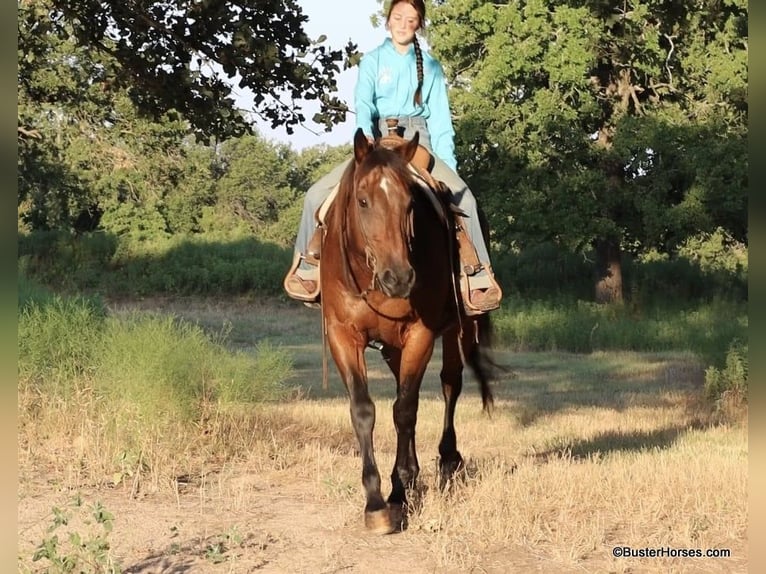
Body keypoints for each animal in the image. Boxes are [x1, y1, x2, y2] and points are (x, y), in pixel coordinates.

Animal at [319, 127, 495, 534]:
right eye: (363, 200)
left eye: (410, 205)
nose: (399, 278)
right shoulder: (342, 335)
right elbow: (364, 410)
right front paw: (375, 504)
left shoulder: (420, 334)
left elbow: (405, 410)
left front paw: (398, 495)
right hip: (392, 346)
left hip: (458, 328)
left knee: (450, 384)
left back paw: (447, 459)